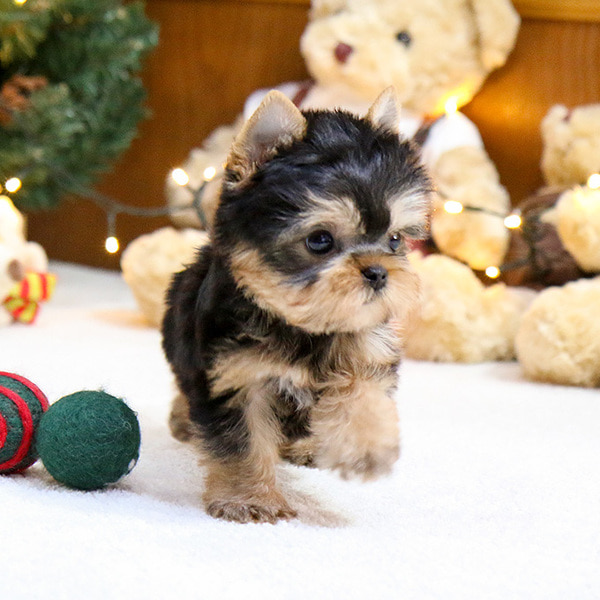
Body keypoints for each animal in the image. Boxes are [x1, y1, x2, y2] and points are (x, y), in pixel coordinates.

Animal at [161, 86, 432, 524]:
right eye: (319, 240)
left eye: (394, 240)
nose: (378, 273)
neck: (302, 324)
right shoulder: (234, 376)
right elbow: (242, 441)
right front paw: (249, 499)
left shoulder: (367, 348)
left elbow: (362, 391)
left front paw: (367, 447)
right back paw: (183, 418)